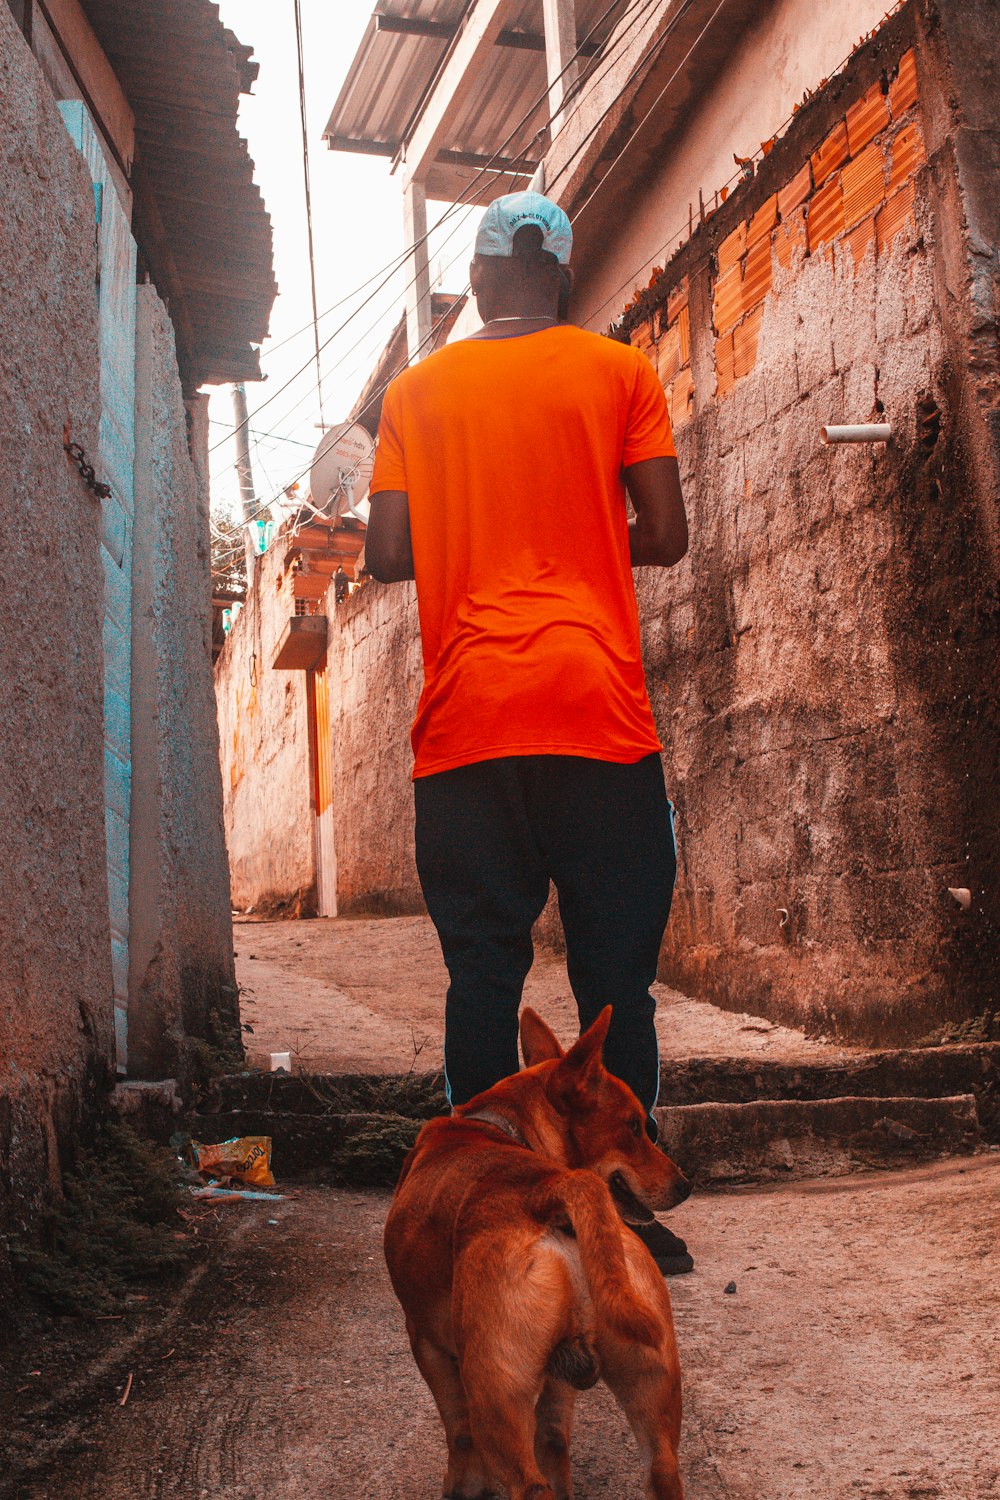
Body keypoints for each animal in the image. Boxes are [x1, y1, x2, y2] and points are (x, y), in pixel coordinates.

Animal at [380, 1002, 689, 1500]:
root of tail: (554, 1189)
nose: (685, 1185)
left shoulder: (426, 1343)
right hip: (654, 1403)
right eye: (633, 1127)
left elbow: (458, 1434)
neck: (499, 1128)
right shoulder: (558, 1386)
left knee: (522, 1476)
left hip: (495, 1400)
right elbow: (555, 1440)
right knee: (659, 1467)